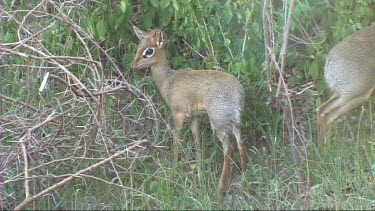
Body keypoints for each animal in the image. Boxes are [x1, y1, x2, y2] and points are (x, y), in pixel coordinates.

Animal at [133, 25, 250, 194]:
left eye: (149, 51)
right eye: (139, 46)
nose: (134, 65)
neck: (169, 81)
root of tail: (239, 93)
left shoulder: (178, 114)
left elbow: (176, 143)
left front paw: (172, 176)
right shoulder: (194, 117)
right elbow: (198, 143)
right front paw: (200, 175)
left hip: (218, 123)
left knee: (229, 148)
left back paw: (220, 188)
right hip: (233, 122)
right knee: (240, 143)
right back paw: (243, 179)